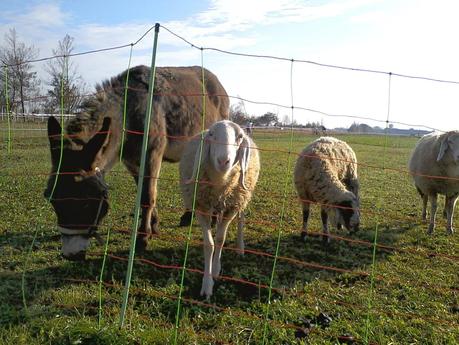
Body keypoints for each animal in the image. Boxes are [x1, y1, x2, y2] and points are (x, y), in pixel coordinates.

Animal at [180, 119, 260, 296]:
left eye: (239, 137)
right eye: (211, 134)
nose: (224, 161)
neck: (220, 181)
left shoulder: (232, 207)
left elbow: (220, 239)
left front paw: (216, 270)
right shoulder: (200, 206)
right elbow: (209, 244)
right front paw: (207, 285)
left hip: (242, 198)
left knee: (241, 220)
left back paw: (240, 248)